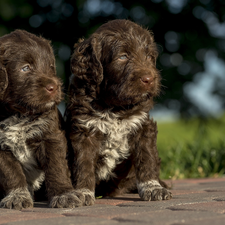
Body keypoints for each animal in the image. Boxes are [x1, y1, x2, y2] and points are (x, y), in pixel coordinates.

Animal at [0, 29, 84, 209]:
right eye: (25, 68)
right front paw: (17, 196)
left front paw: (64, 195)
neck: (18, 114)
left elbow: (56, 167)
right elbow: (11, 173)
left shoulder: (51, 136)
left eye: (51, 67)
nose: (54, 87)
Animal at [65, 18, 172, 206]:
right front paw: (83, 192)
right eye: (123, 57)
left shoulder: (143, 125)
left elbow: (147, 159)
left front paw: (153, 188)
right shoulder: (84, 130)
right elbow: (83, 163)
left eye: (149, 57)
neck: (114, 107)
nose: (149, 79)